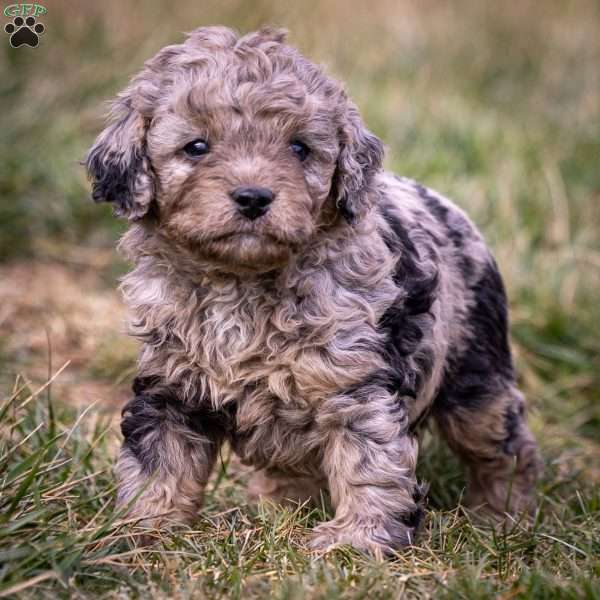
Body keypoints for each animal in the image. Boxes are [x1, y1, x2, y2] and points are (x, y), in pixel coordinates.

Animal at [86, 27, 540, 552]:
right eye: (196, 147)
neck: (239, 284)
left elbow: (369, 465)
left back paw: (503, 516)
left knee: (502, 442)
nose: (253, 197)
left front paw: (358, 539)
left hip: (475, 373)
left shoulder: (357, 384)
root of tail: (445, 203)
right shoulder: (170, 386)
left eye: (300, 148)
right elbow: (160, 463)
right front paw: (143, 531)